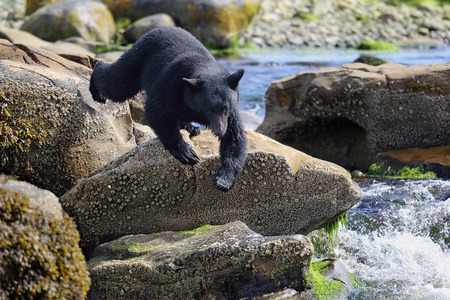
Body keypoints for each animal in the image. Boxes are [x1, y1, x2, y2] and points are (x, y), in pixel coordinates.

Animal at [89, 26, 248, 192]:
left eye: (225, 108)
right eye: (209, 109)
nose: (219, 131)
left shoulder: (232, 111)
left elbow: (235, 138)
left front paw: (223, 180)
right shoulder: (171, 82)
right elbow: (156, 111)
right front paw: (186, 152)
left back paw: (191, 128)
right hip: (138, 59)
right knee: (117, 82)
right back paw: (97, 85)